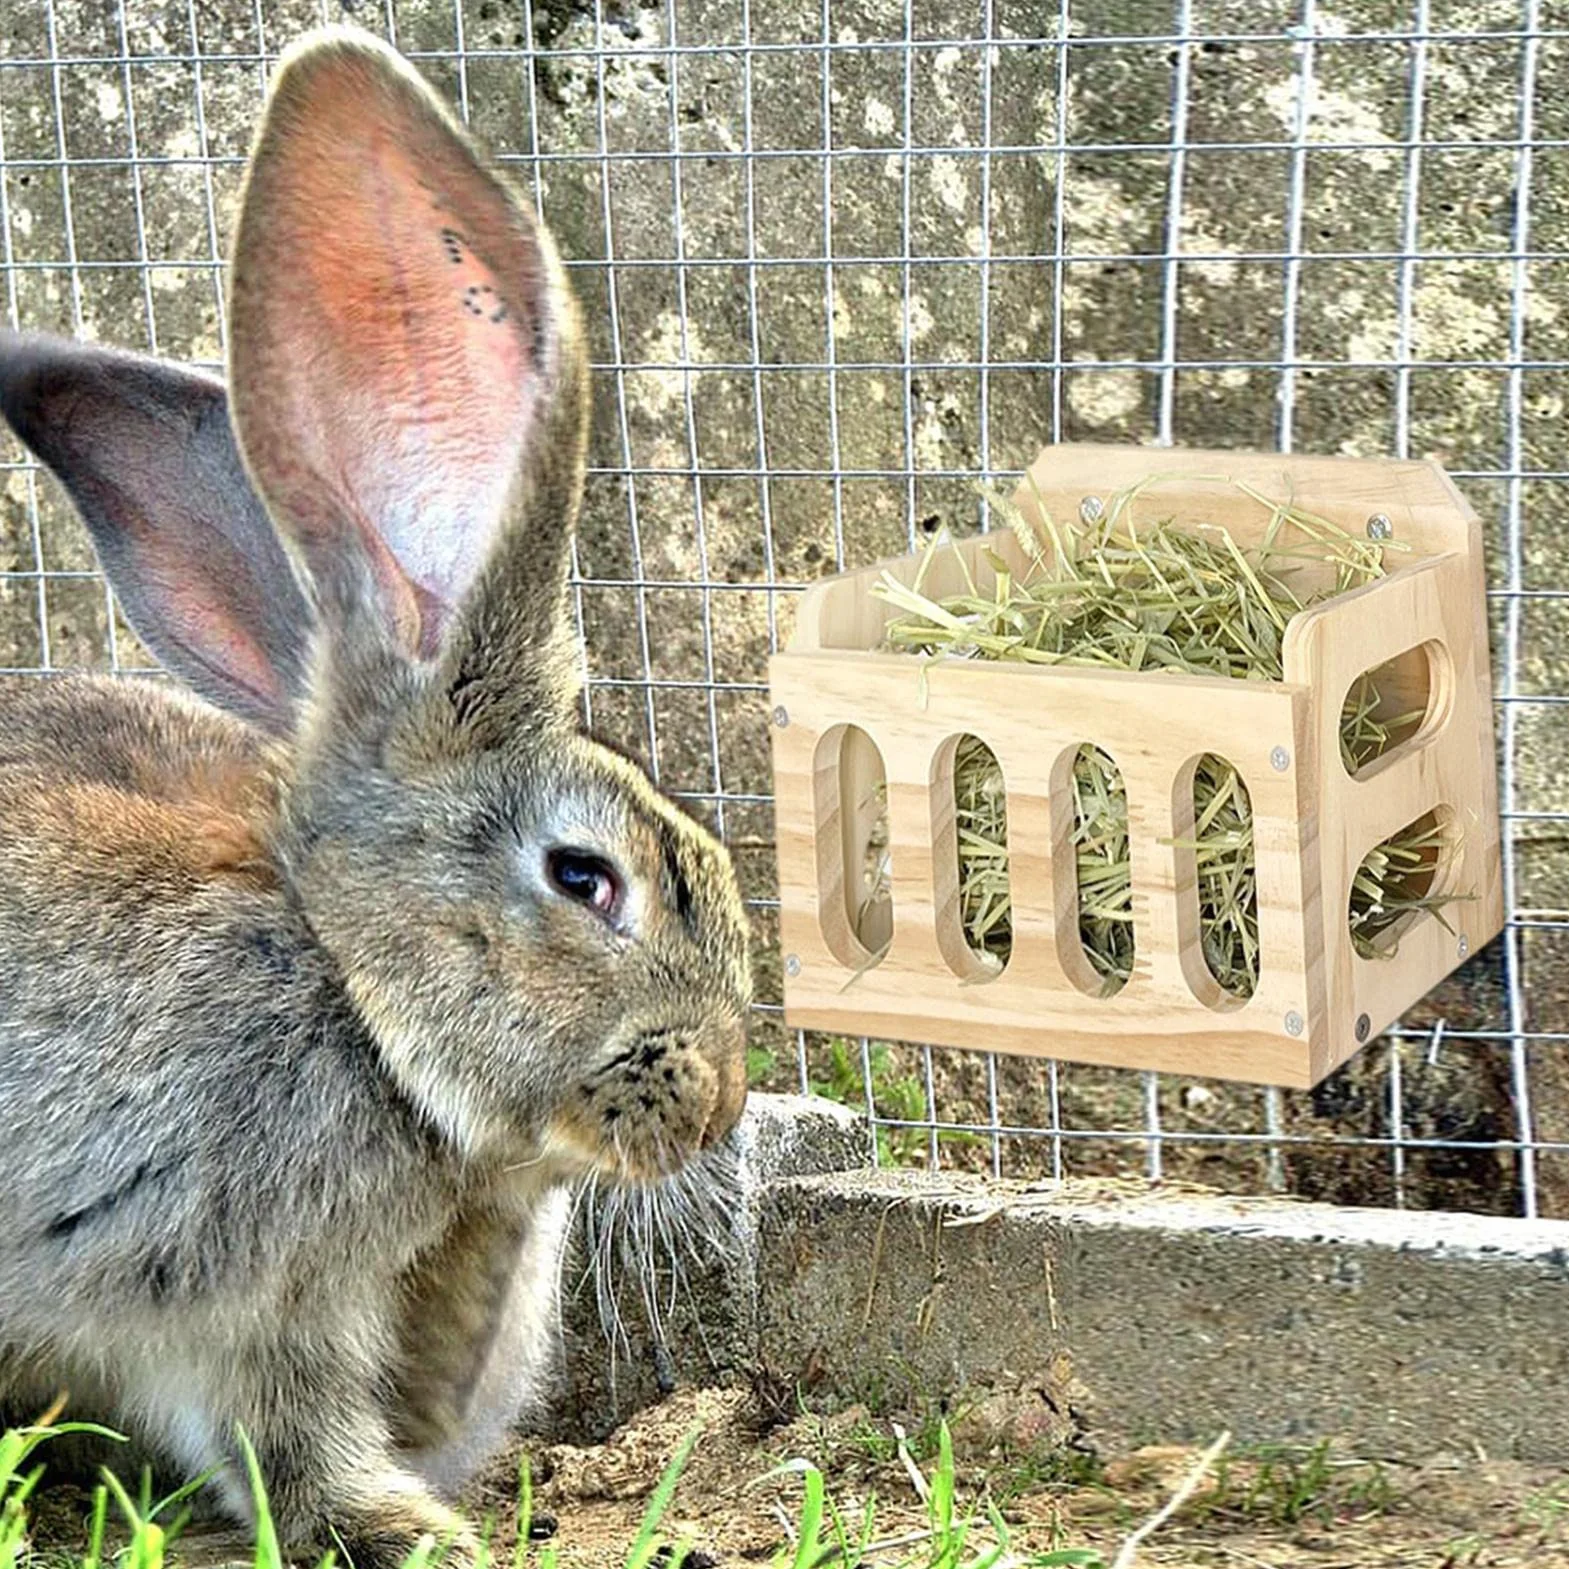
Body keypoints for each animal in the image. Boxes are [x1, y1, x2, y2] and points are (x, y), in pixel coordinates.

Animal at [0, 24, 751, 1567]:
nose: (722, 1101)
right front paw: (405, 1529)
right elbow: (285, 1439)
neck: (347, 989)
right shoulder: (241, 1300)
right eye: (586, 878)